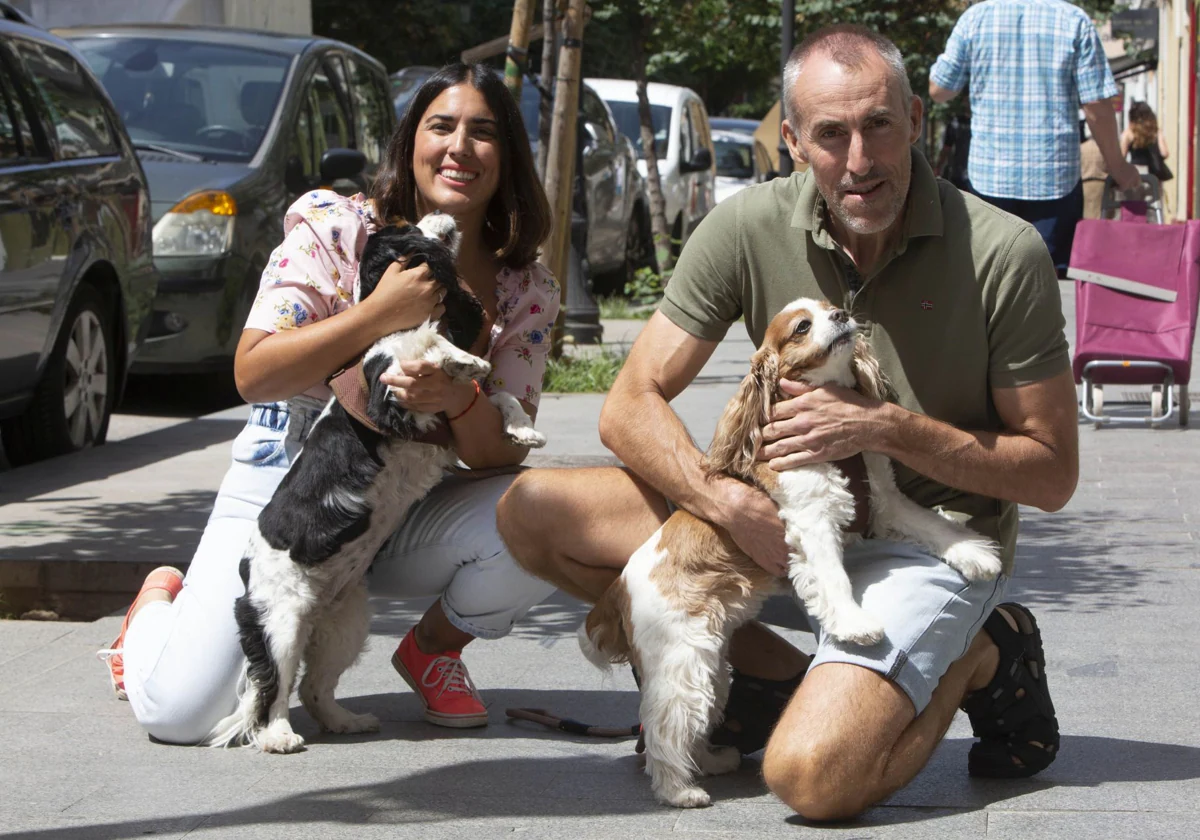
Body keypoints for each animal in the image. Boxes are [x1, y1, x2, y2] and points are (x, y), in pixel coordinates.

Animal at [205, 213, 544, 753]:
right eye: (407, 226)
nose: (443, 216)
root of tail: (246, 572)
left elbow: (498, 396)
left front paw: (524, 429)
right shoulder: (390, 390)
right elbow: (426, 347)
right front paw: (463, 357)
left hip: (343, 625)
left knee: (314, 687)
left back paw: (346, 722)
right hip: (281, 620)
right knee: (271, 687)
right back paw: (279, 736)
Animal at [580, 296, 1003, 806]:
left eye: (830, 308)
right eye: (803, 326)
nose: (841, 315)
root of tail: (619, 588)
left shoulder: (884, 501)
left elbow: (931, 524)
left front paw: (975, 553)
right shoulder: (811, 522)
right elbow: (835, 578)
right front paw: (855, 624)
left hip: (712, 666)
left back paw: (711, 762)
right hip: (683, 660)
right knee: (665, 728)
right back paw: (679, 790)